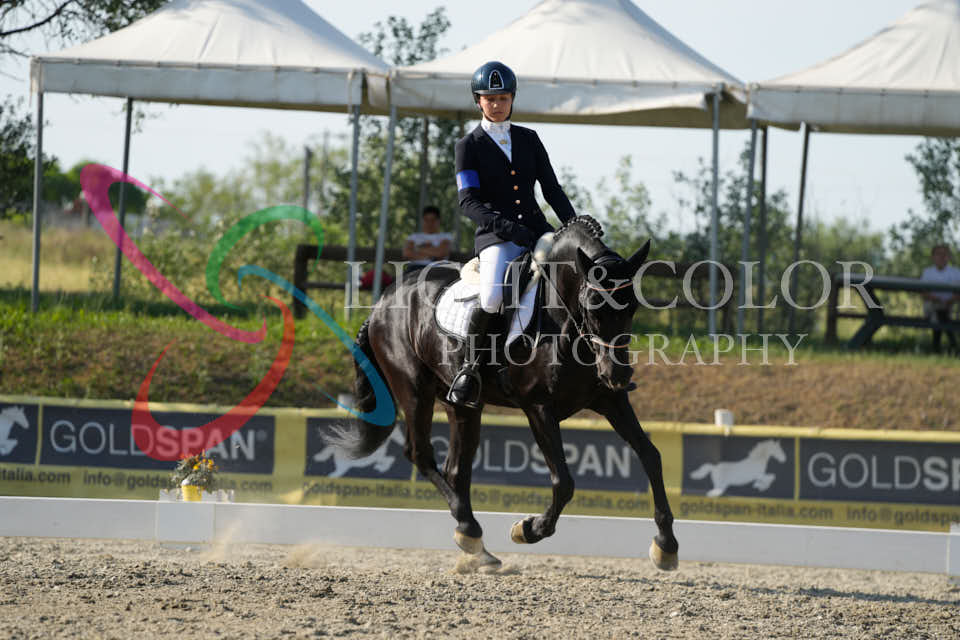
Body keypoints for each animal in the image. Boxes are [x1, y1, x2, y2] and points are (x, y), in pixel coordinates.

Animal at [329, 216, 678, 573]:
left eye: (632, 307)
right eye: (592, 307)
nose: (618, 375)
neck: (562, 321)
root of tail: (381, 302)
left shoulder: (610, 401)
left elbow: (651, 456)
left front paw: (666, 546)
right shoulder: (538, 407)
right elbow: (563, 481)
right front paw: (529, 529)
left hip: (463, 405)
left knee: (457, 468)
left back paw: (476, 546)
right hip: (413, 390)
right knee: (420, 454)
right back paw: (470, 530)